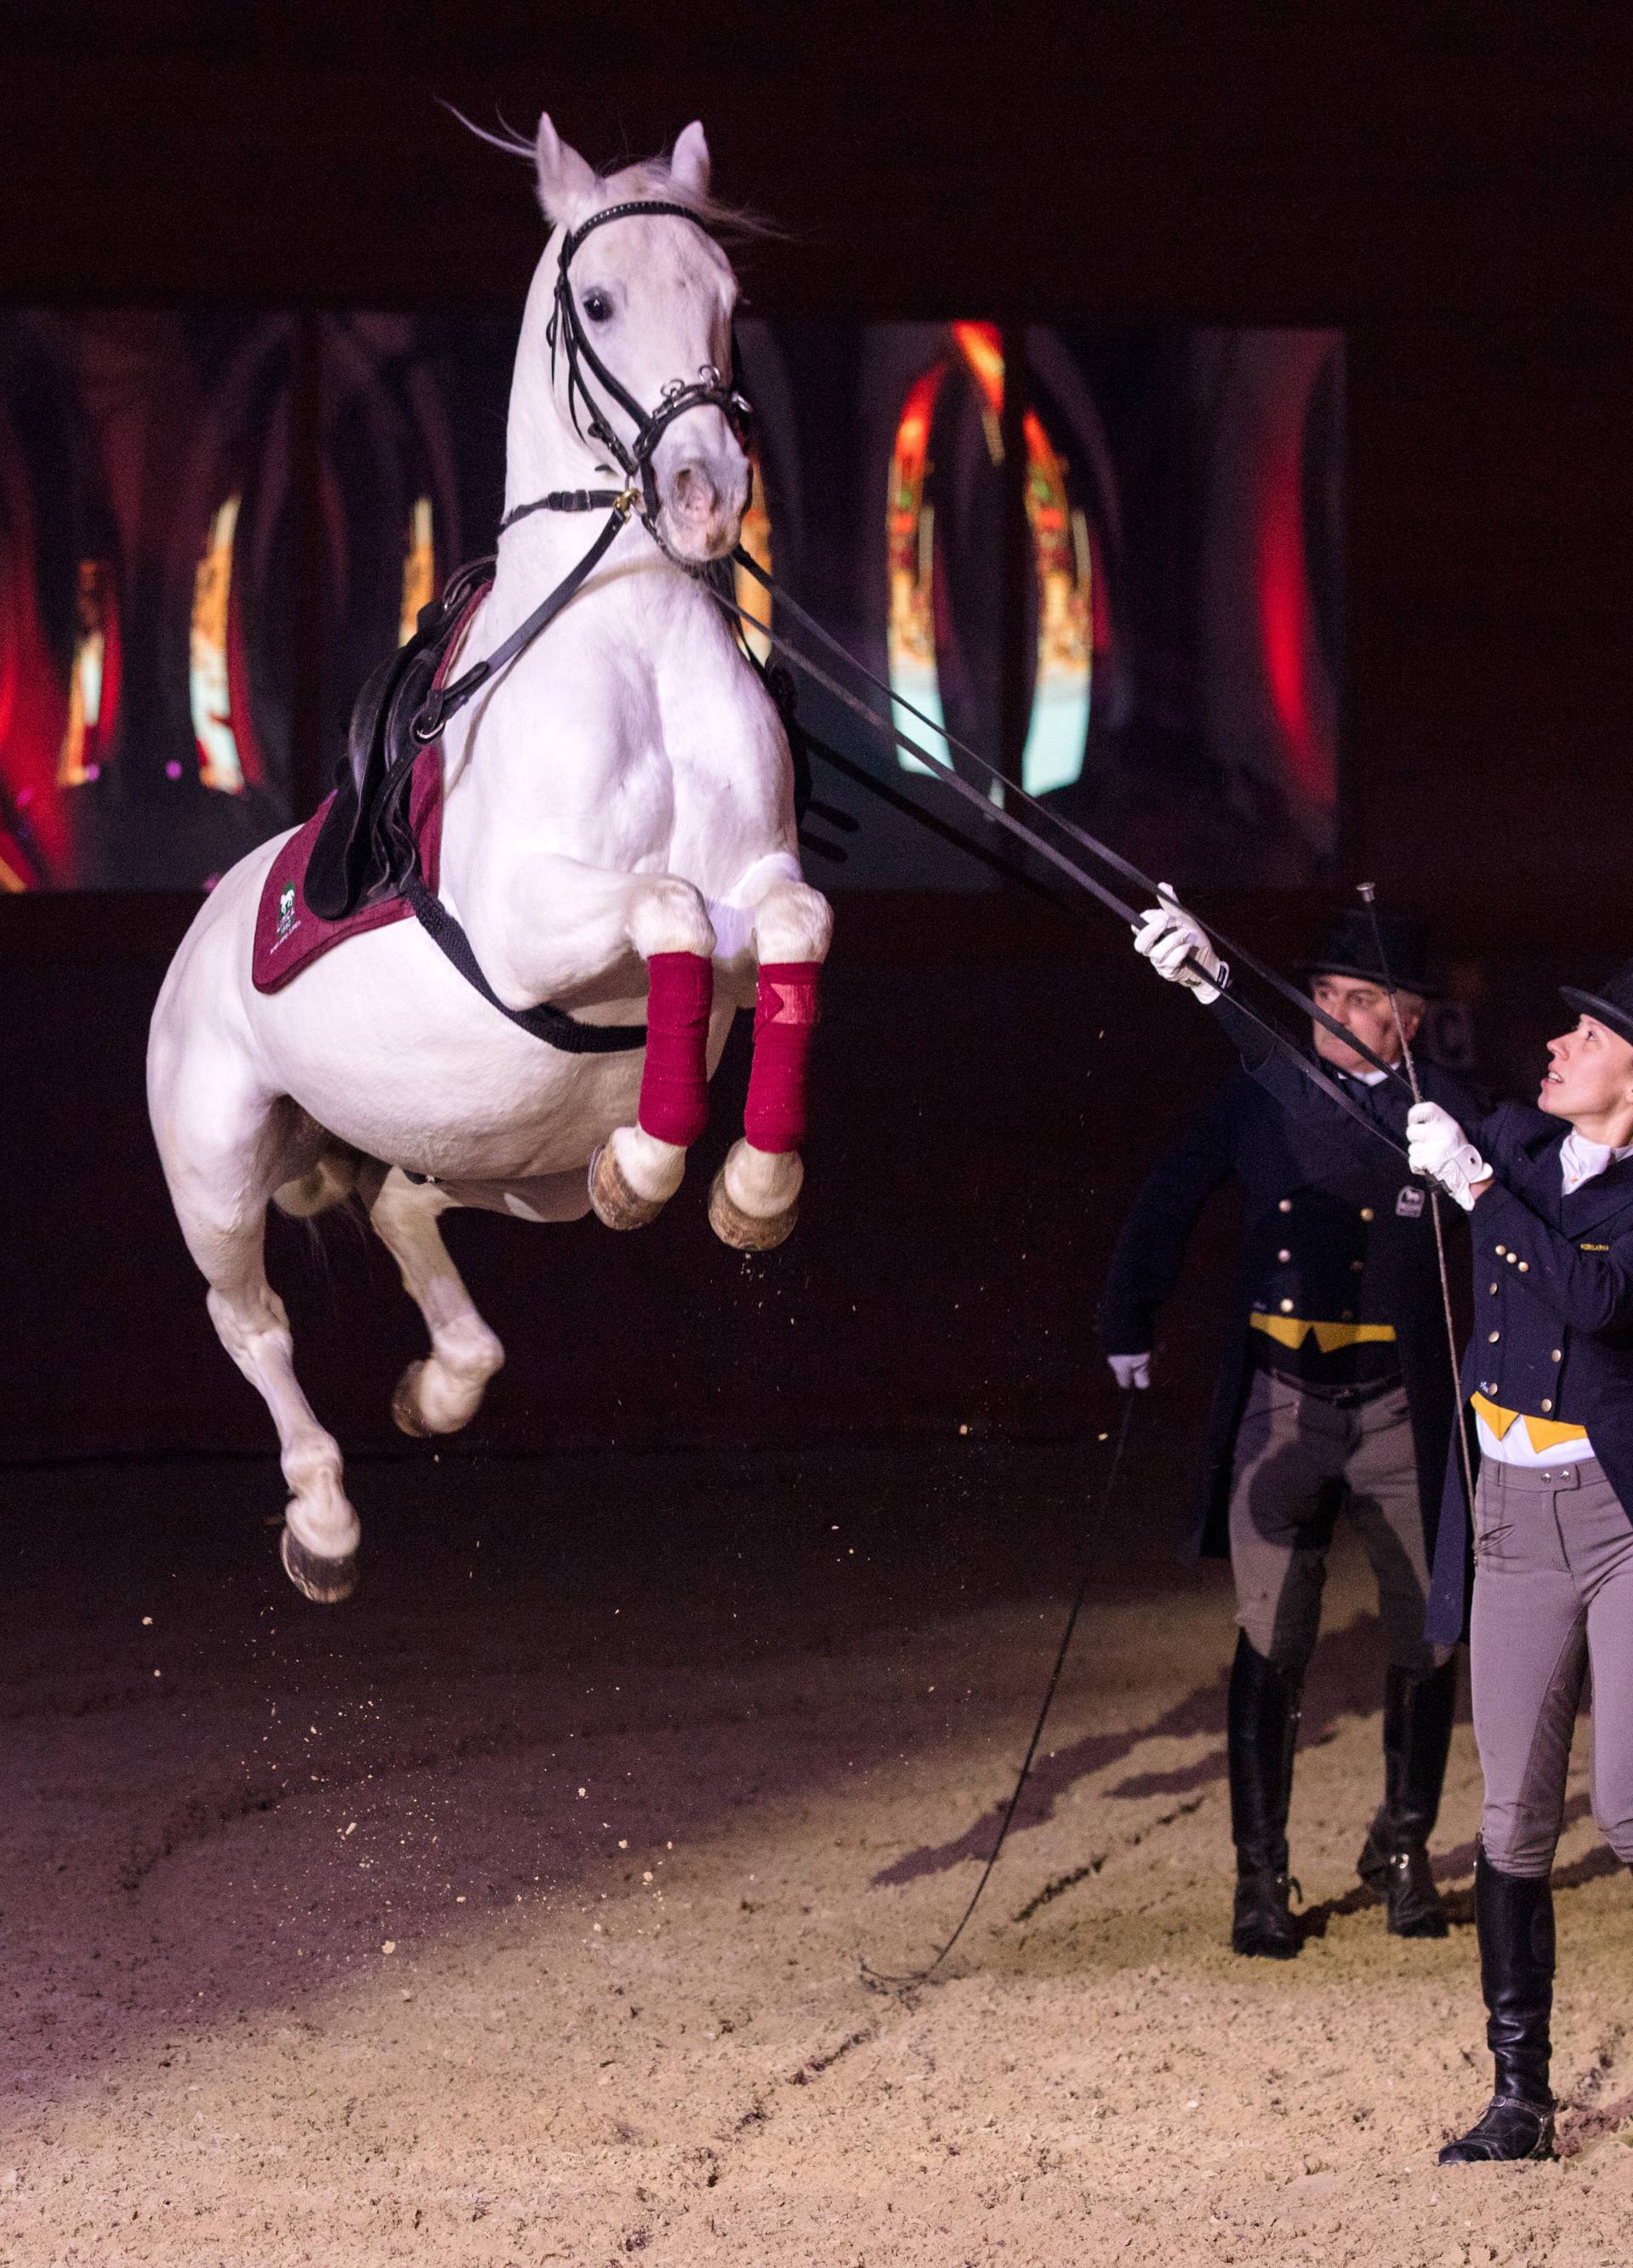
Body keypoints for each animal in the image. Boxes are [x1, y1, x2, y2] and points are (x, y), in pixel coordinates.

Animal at [146, 115, 834, 1605]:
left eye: (727, 300)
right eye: (600, 302)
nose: (707, 493)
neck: (634, 643)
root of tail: (206, 926)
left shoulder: (769, 881)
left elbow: (784, 929)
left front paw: (743, 1188)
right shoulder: (529, 927)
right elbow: (671, 907)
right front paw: (665, 1159)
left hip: (504, 1159)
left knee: (411, 1209)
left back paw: (452, 1378)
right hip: (217, 1167)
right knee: (255, 1325)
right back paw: (324, 1519)